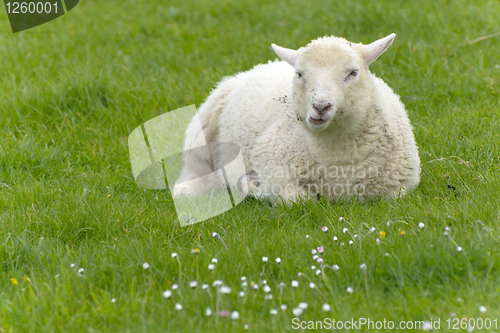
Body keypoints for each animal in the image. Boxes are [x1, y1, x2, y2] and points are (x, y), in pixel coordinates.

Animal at [174, 35, 420, 204]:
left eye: (353, 73)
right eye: (300, 74)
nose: (320, 106)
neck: (340, 159)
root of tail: (261, 65)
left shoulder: (402, 184)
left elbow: (396, 196)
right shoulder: (271, 160)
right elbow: (299, 200)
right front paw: (254, 186)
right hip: (200, 134)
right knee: (190, 176)